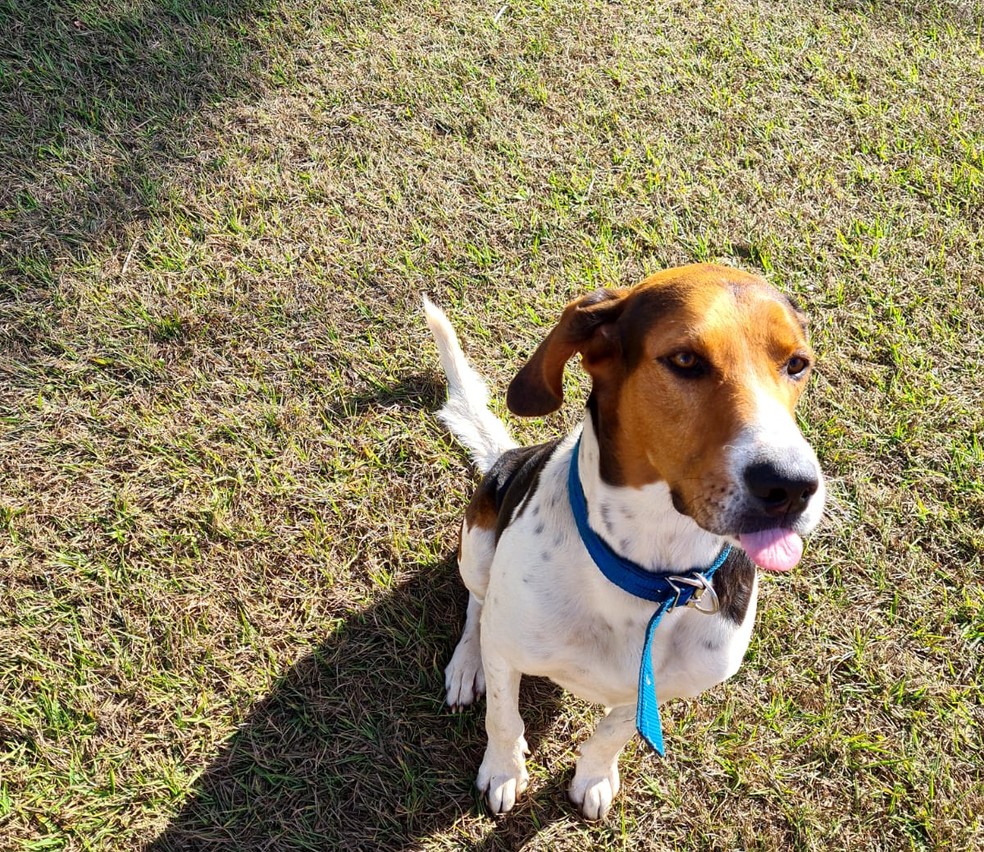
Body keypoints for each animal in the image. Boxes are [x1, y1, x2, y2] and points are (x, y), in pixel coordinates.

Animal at [420, 264, 824, 820]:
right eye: (685, 360)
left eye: (797, 363)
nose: (793, 486)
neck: (654, 576)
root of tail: (510, 454)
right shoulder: (507, 650)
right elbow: (504, 719)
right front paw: (504, 771)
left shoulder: (658, 687)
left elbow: (612, 732)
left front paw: (592, 776)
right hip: (478, 544)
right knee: (476, 608)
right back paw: (466, 666)